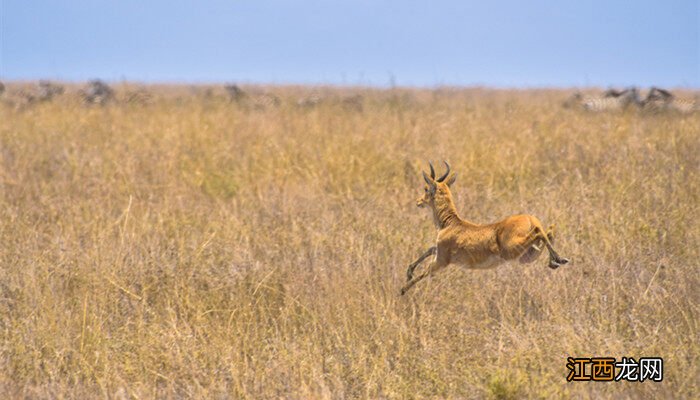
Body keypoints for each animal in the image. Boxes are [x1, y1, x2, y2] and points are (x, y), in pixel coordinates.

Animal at [400, 161, 568, 296]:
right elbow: (430, 249)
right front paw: (408, 272)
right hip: (527, 257)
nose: (418, 201)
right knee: (549, 230)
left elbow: (425, 270)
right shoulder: (439, 250)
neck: (450, 223)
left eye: (426, 188)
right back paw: (557, 261)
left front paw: (403, 289)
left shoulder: (441, 261)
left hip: (514, 250)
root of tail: (530, 219)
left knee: (540, 232)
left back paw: (558, 260)